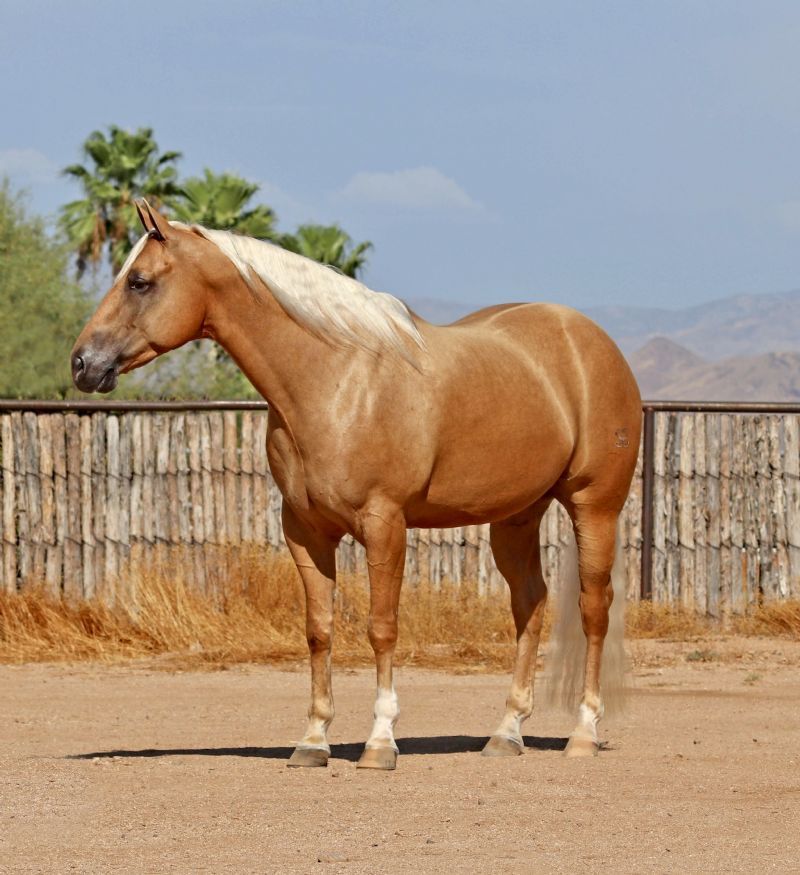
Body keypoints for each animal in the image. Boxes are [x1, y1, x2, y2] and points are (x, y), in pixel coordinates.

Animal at [71, 200, 641, 770]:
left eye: (139, 282)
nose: (81, 363)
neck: (337, 381)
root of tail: (590, 342)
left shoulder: (384, 525)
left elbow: (380, 627)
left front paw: (380, 741)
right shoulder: (305, 531)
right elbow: (319, 630)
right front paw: (313, 740)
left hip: (594, 507)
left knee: (594, 609)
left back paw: (583, 732)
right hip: (516, 516)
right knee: (530, 604)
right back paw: (506, 732)